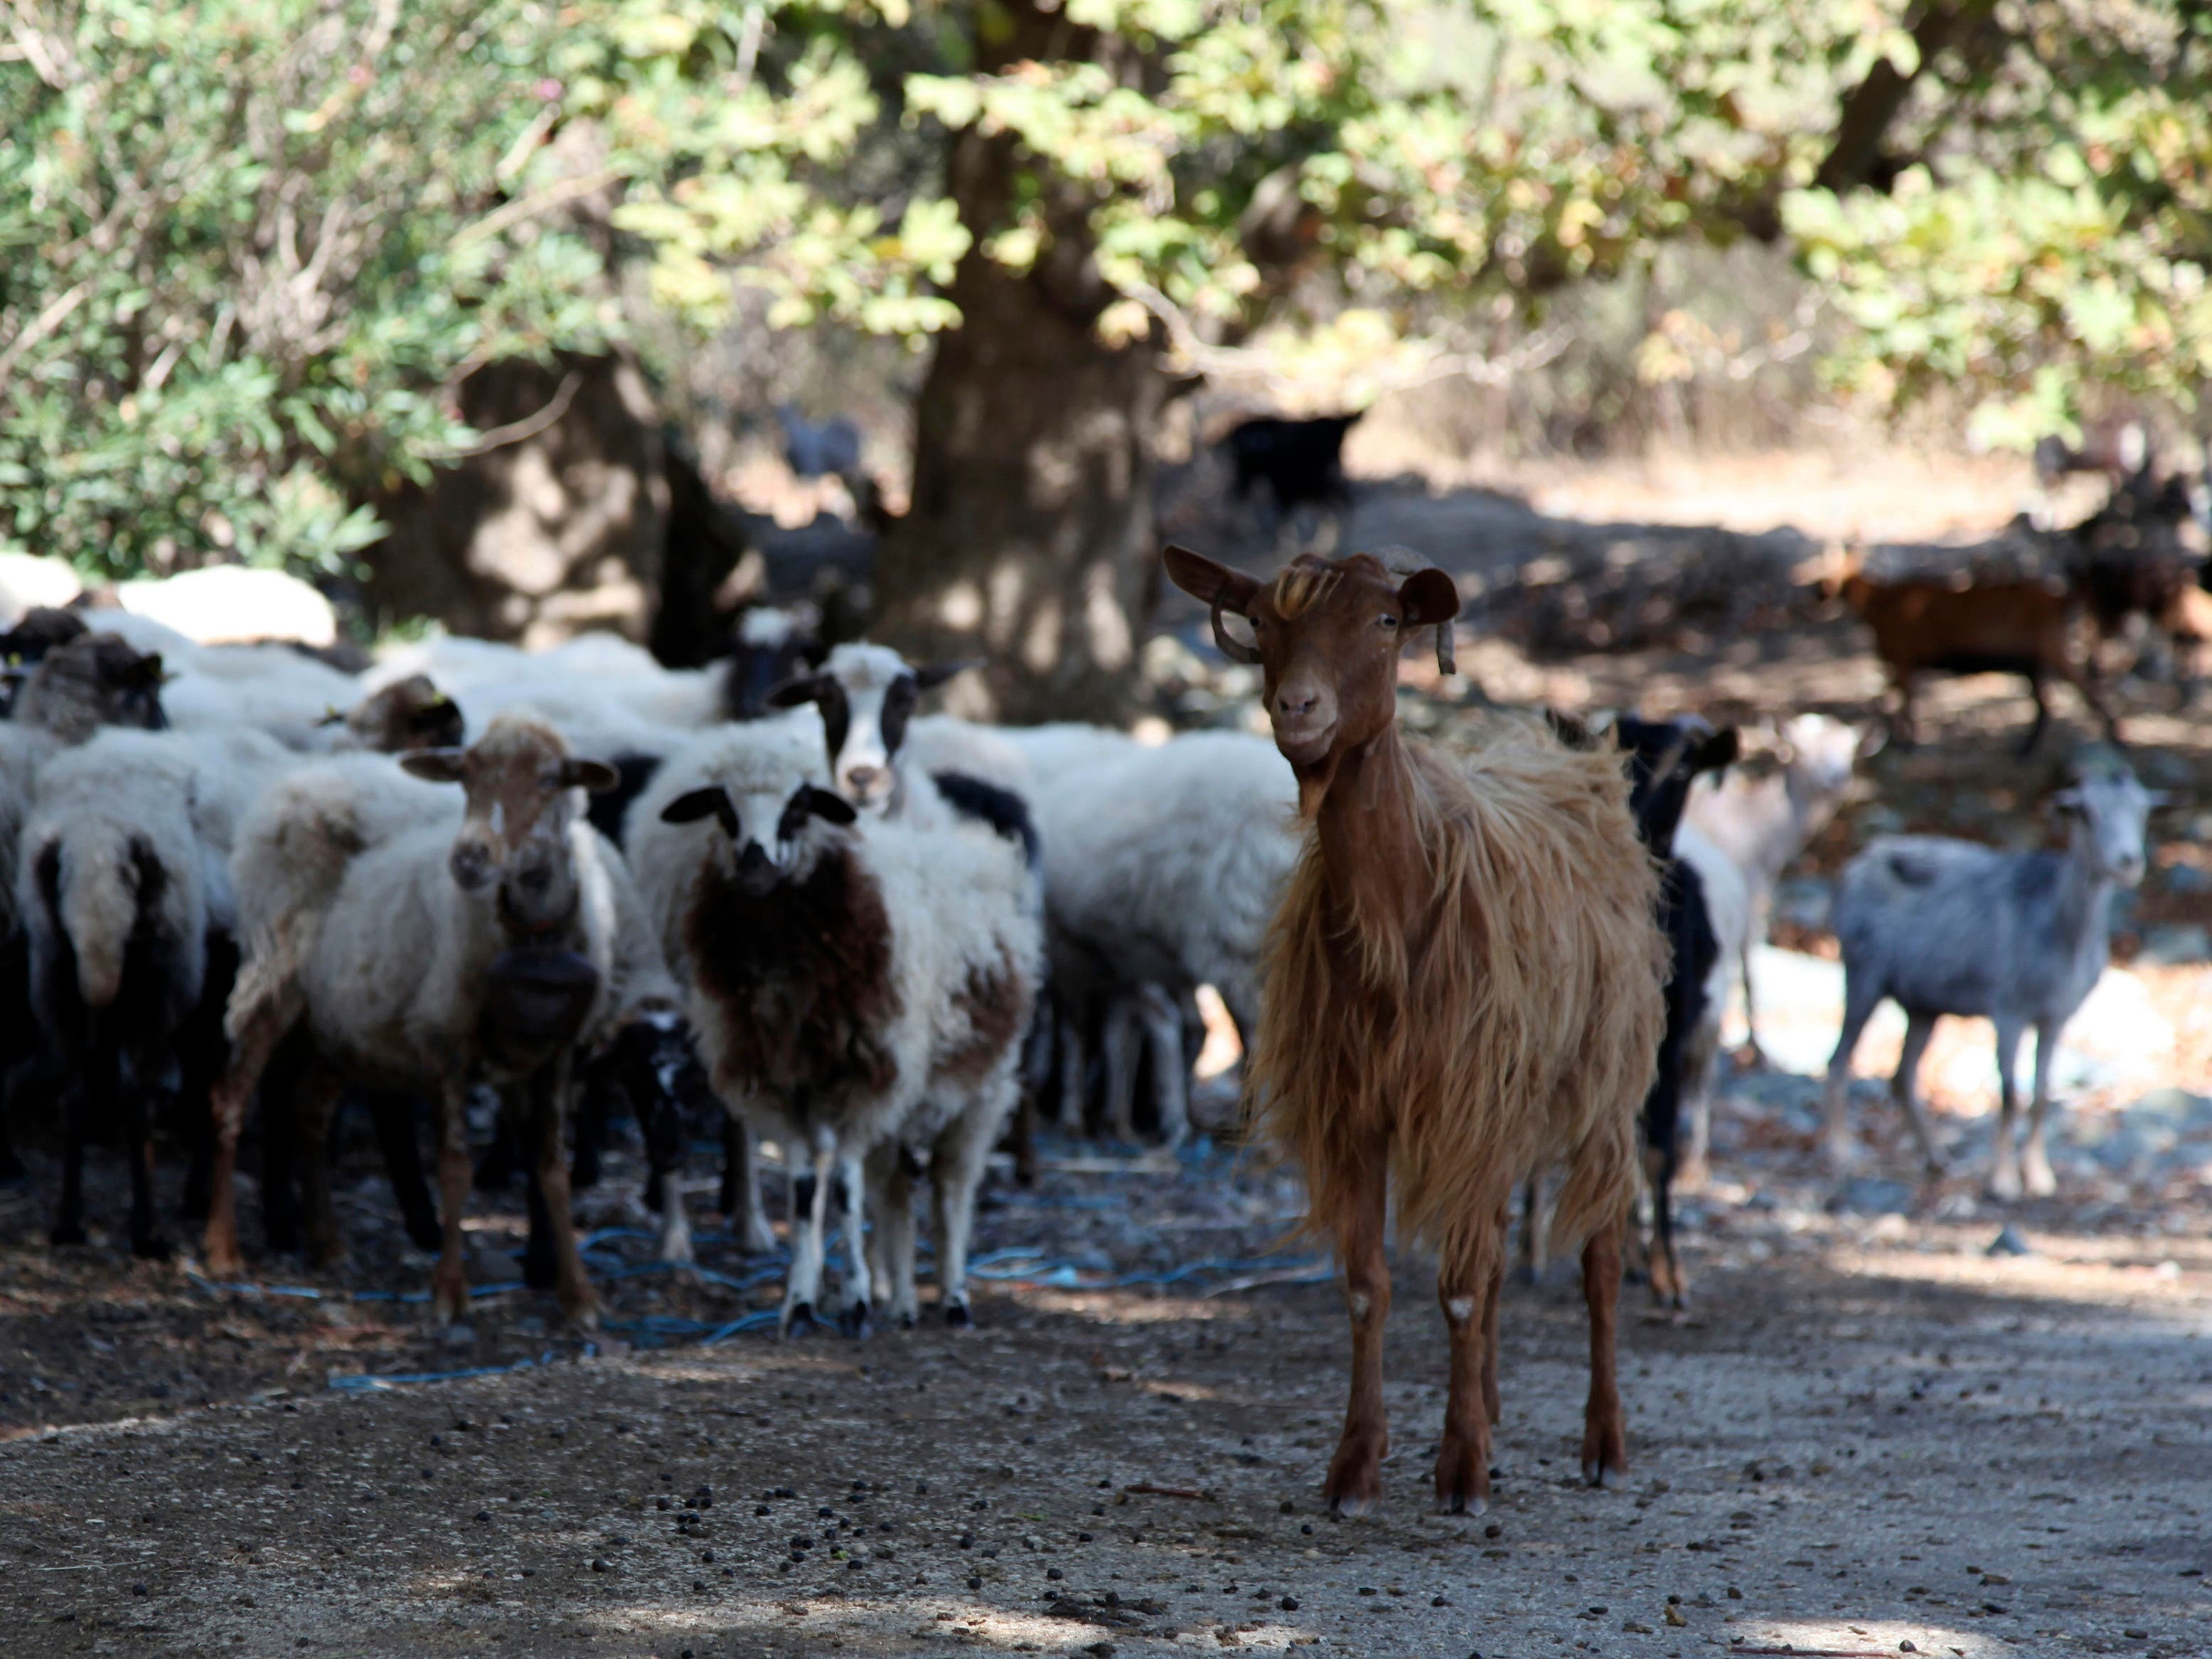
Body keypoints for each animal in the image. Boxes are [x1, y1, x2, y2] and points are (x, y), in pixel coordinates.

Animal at [1164, 544, 1665, 1514]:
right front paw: (1358, 1464)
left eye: (1387, 620)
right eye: (1263, 621)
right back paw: (1498, 1407)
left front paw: (1461, 1468)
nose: (1299, 708)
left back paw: (1605, 1442)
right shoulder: (1359, 1106)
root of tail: (1572, 763)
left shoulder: (1466, 1098)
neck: (1401, 897)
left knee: (1599, 1256)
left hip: (1601, 1082)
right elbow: (1370, 1286)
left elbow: (1460, 1289)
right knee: (1502, 1248)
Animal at [1822, 762, 2157, 1198]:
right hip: (1863, 975)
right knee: (1838, 1062)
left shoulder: (2055, 1018)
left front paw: (2040, 1177)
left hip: (1923, 1005)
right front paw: (2003, 1181)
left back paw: (1937, 1159)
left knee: (1902, 1077)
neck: (2058, 929)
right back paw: (1841, 1156)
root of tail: (1855, 868)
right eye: (2087, 812)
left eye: (2142, 811)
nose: (2128, 861)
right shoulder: (2008, 1010)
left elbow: (2043, 1095)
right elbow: (2010, 1094)